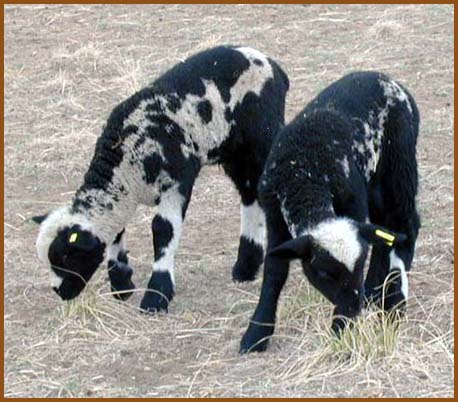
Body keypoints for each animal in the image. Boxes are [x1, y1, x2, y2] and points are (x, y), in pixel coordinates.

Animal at [34, 45, 288, 312]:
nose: (60, 292)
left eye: (65, 256)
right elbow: (117, 232)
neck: (125, 158)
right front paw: (122, 284)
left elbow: (162, 229)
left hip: (262, 138)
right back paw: (245, 268)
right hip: (234, 151)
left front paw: (156, 295)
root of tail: (272, 65)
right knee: (249, 195)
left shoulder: (177, 182)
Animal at [242, 71, 420, 352]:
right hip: (375, 180)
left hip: (399, 162)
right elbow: (274, 270)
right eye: (323, 273)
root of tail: (386, 78)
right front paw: (256, 334)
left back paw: (391, 292)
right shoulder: (274, 216)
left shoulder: (353, 203)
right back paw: (373, 289)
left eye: (358, 264)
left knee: (405, 223)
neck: (303, 173)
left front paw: (341, 330)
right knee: (384, 226)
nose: (353, 308)